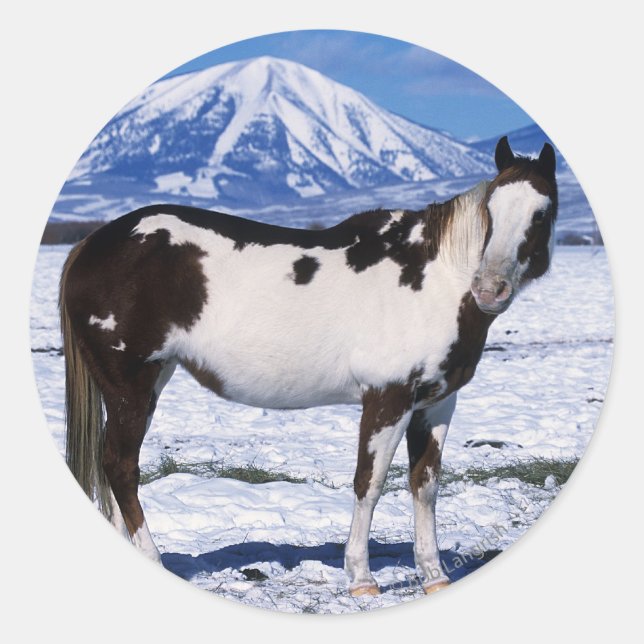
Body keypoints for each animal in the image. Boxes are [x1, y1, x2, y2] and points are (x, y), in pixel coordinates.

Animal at [59, 136, 557, 597]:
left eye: (542, 212)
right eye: (492, 208)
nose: (489, 289)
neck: (434, 280)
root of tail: (92, 243)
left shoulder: (435, 405)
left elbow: (425, 485)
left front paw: (434, 576)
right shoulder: (388, 398)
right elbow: (370, 483)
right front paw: (361, 578)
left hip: (144, 384)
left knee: (113, 469)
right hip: (130, 385)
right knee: (121, 467)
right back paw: (154, 559)